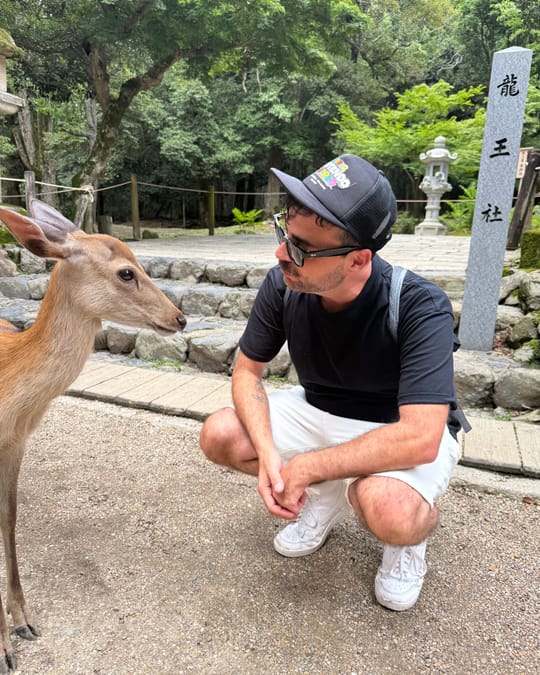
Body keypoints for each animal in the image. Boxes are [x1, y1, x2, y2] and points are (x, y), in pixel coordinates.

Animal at [0, 200, 186, 673]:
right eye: (126, 272)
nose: (179, 317)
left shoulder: (17, 442)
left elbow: (9, 519)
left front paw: (24, 621)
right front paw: (4, 648)